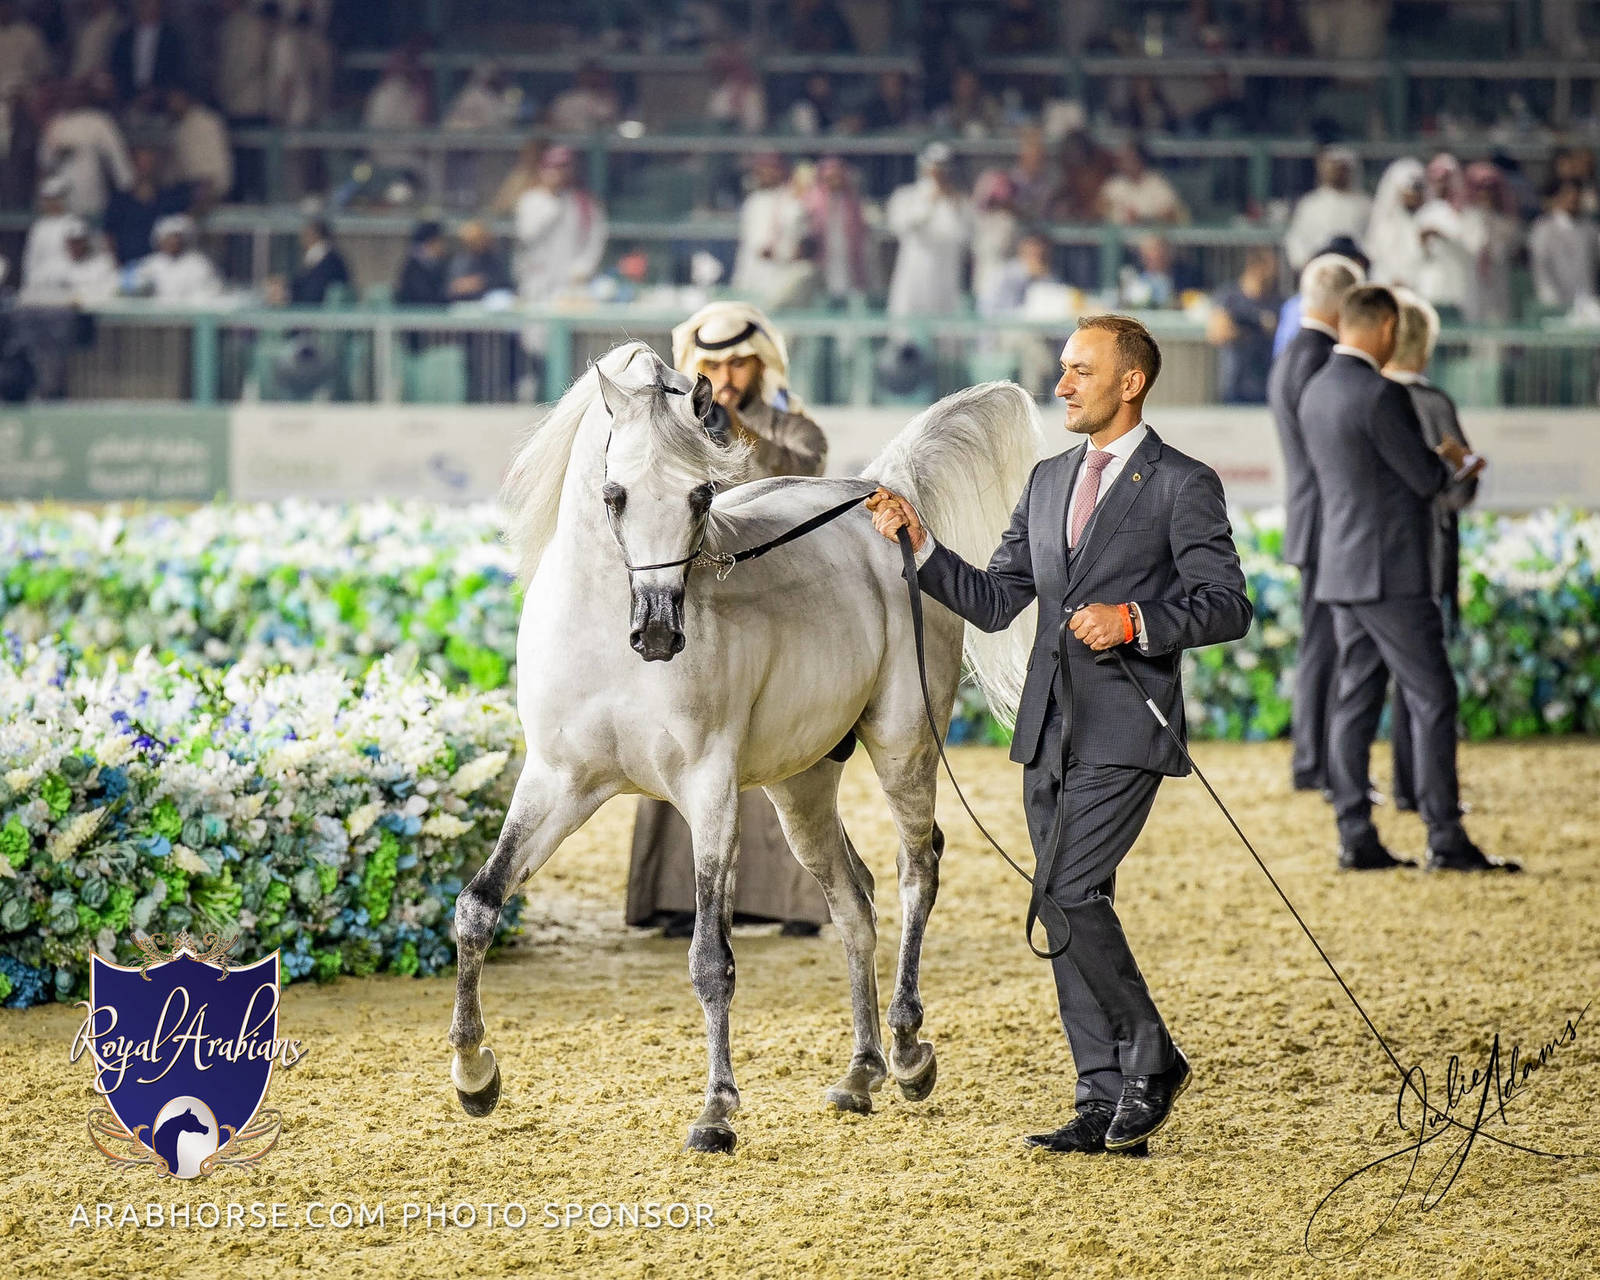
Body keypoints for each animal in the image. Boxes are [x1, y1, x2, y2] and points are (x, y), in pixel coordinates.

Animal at [449, 340, 1043, 1152]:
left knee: (916, 870)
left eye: (701, 496)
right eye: (614, 495)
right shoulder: (558, 783)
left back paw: (908, 1051)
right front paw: (474, 1075)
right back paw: (860, 1073)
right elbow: (478, 905)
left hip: (904, 747)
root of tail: (880, 497)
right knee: (853, 900)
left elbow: (710, 959)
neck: (604, 642)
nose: (657, 632)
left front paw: (716, 1111)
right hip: (802, 784)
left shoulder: (709, 791)